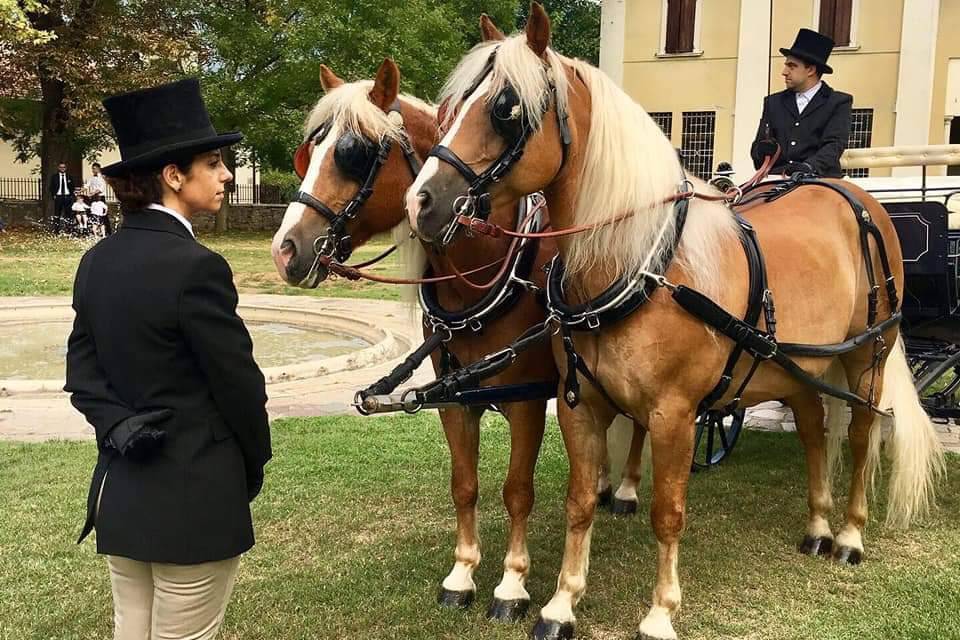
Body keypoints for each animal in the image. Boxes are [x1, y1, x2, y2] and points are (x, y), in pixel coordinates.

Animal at [268, 55, 644, 620]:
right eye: (305, 155)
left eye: (353, 154)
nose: (285, 250)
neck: (486, 273)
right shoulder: (452, 398)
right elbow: (464, 485)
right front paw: (463, 573)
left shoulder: (527, 399)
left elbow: (517, 491)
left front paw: (511, 584)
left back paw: (624, 489)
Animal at [406, 6, 944, 640]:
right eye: (449, 108)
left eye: (506, 109)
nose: (421, 202)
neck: (640, 263)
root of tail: (861, 198)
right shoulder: (579, 404)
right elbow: (579, 501)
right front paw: (562, 603)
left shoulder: (675, 414)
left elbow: (668, 512)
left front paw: (661, 612)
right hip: (798, 365)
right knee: (814, 429)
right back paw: (817, 525)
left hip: (868, 358)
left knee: (860, 436)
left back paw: (851, 534)